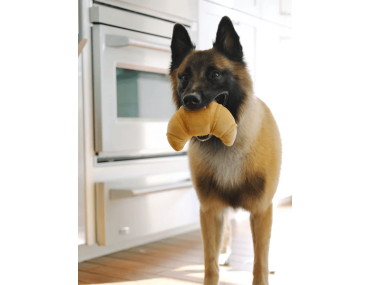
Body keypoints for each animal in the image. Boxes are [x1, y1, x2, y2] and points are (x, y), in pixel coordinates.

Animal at [169, 16, 282, 284]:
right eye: (183, 77)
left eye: (215, 74)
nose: (190, 100)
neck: (226, 144)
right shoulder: (211, 211)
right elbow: (210, 264)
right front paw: (217, 261)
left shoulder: (261, 210)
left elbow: (260, 262)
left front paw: (265, 268)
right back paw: (225, 253)